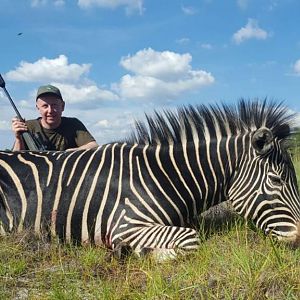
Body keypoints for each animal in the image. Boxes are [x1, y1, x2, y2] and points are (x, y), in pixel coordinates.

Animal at [0, 99, 298, 258]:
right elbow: (192, 240)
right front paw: (138, 252)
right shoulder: (126, 225)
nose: (298, 240)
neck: (163, 176)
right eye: (277, 180)